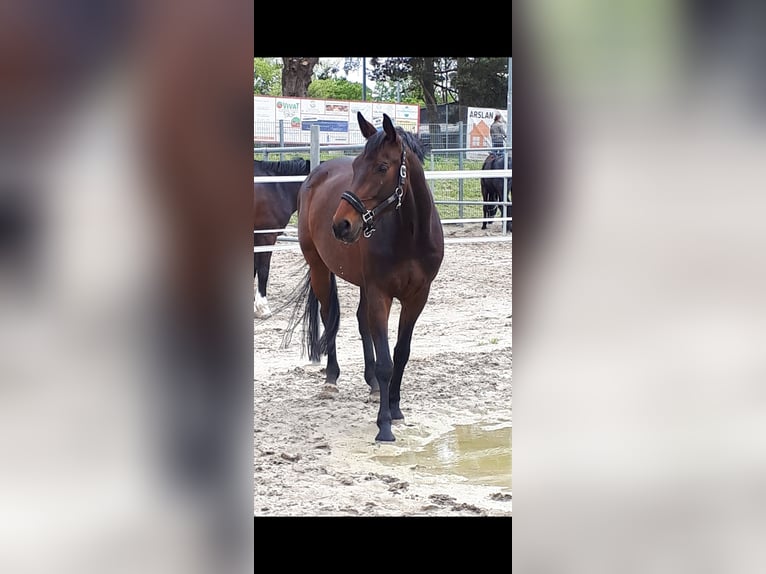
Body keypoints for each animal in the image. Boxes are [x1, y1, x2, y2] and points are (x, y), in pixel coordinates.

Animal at [296, 113, 450, 446]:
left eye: (382, 167)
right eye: (356, 167)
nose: (341, 225)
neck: (410, 235)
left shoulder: (417, 297)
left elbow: (400, 354)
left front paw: (395, 408)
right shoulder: (381, 293)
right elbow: (385, 363)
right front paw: (384, 425)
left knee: (360, 321)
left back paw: (372, 386)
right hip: (319, 269)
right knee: (329, 318)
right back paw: (331, 378)